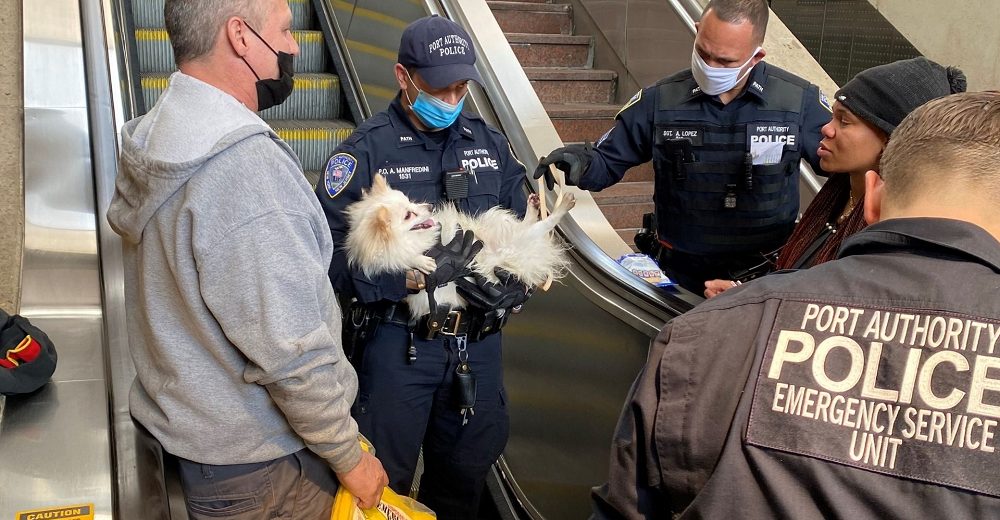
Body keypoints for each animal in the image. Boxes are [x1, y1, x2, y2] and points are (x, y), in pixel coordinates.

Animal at [346, 177, 576, 318]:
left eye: (409, 201)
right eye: (408, 215)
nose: (429, 206)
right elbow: (405, 258)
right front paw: (423, 261)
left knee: (529, 224)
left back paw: (534, 206)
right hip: (515, 244)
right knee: (540, 226)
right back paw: (561, 207)